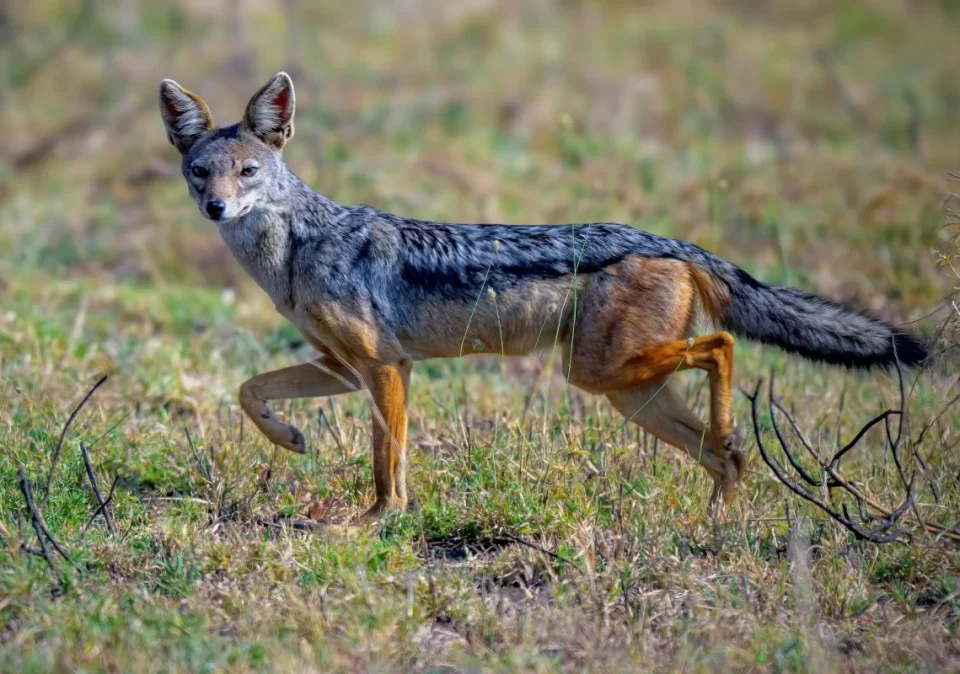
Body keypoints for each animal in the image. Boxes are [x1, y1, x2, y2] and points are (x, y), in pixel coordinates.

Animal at [159, 72, 928, 521]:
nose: (216, 209)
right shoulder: (348, 368)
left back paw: (730, 444)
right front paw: (291, 439)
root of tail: (670, 241)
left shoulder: (382, 367)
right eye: (200, 172)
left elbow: (387, 463)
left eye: (248, 172)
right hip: (625, 392)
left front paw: (380, 521)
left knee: (722, 346)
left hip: (599, 374)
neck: (295, 253)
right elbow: (250, 391)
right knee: (723, 452)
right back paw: (714, 524)